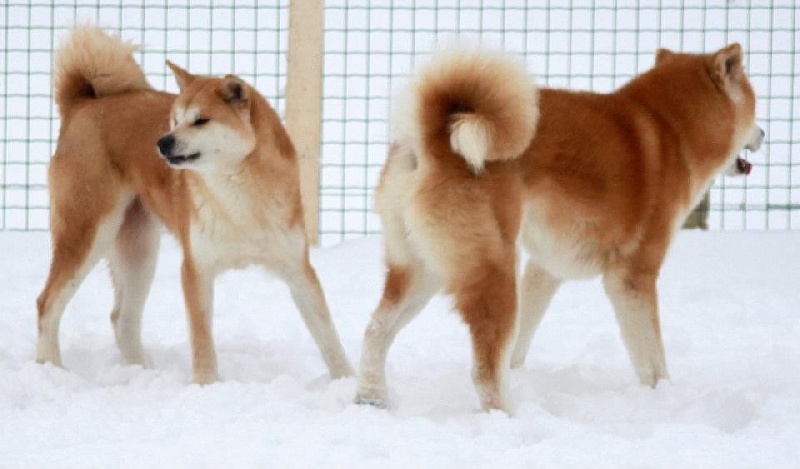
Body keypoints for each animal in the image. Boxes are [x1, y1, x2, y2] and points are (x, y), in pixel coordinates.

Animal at [36, 26, 353, 383]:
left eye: (201, 121)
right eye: (174, 120)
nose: (162, 142)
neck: (240, 195)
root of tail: (82, 103)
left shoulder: (298, 268)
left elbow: (327, 335)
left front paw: (348, 381)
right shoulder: (196, 269)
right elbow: (202, 342)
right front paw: (206, 386)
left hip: (139, 250)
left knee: (122, 319)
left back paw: (145, 372)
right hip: (87, 234)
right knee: (47, 303)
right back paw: (51, 368)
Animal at [355, 44, 764, 414]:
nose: (762, 133)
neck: (670, 127)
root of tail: (432, 137)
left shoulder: (545, 269)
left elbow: (520, 340)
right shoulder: (632, 277)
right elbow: (652, 358)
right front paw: (664, 397)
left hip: (421, 272)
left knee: (375, 332)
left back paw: (371, 399)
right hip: (491, 272)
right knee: (484, 370)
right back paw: (507, 419)